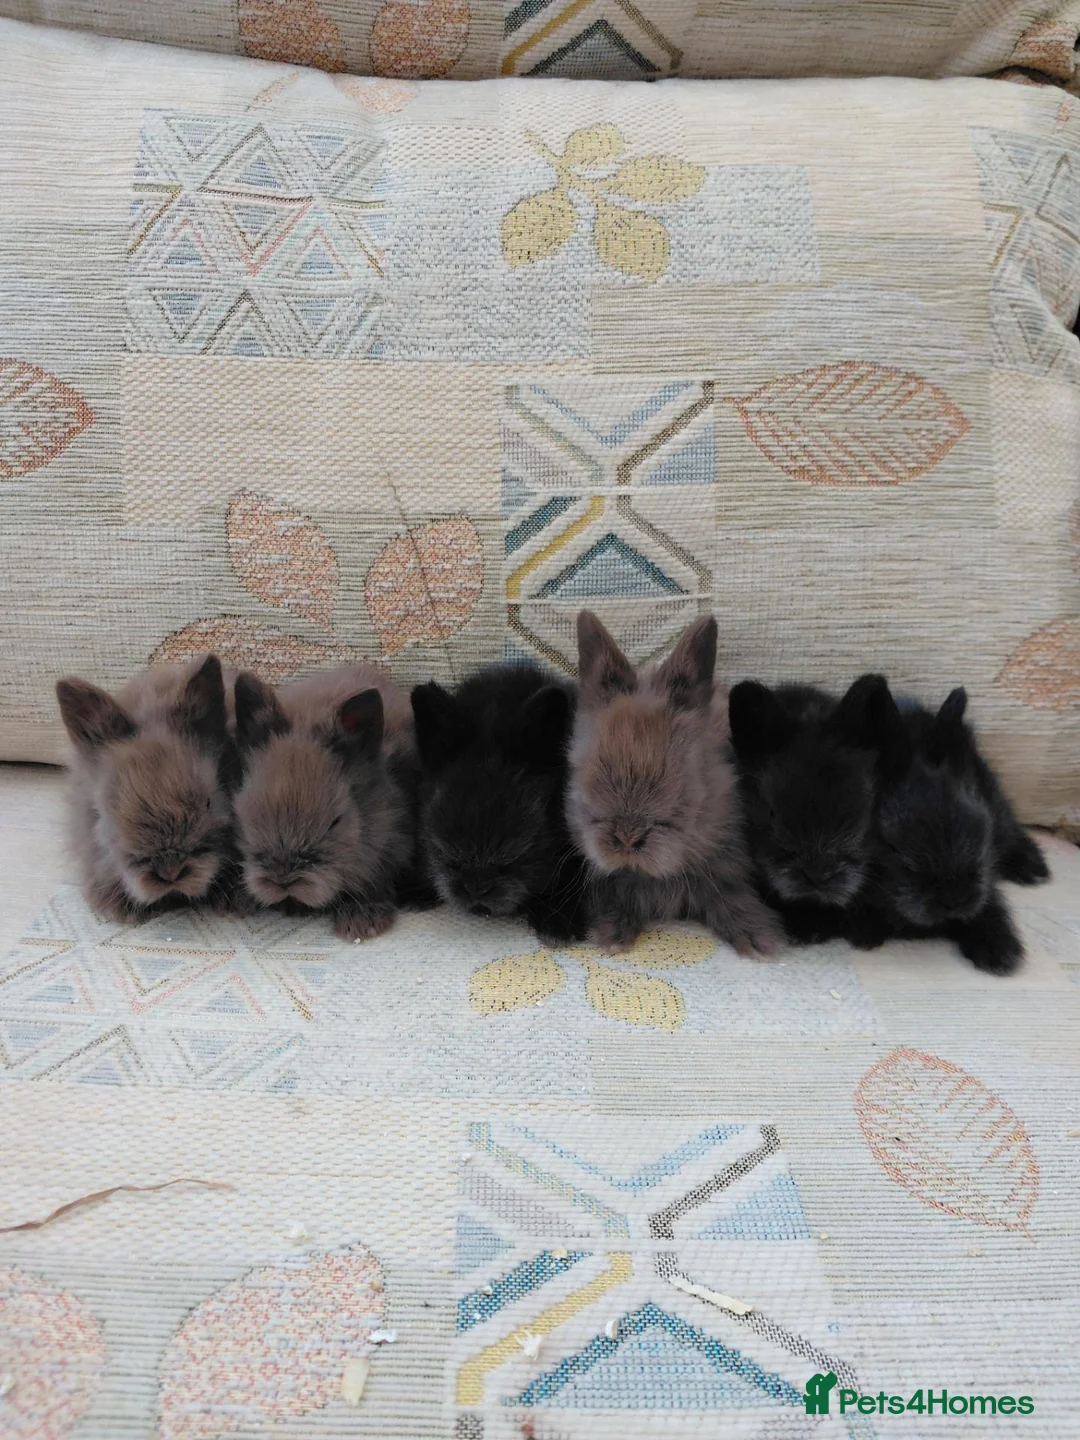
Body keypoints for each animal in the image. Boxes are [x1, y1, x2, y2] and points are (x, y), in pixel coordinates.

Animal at [566, 611, 780, 956]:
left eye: (680, 774)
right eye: (584, 767)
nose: (627, 839)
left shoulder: (725, 866)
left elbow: (732, 897)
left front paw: (758, 939)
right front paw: (613, 936)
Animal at [867, 685, 1048, 975]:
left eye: (978, 820)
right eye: (890, 841)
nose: (955, 898)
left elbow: (989, 900)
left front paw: (1000, 951)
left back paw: (1034, 869)